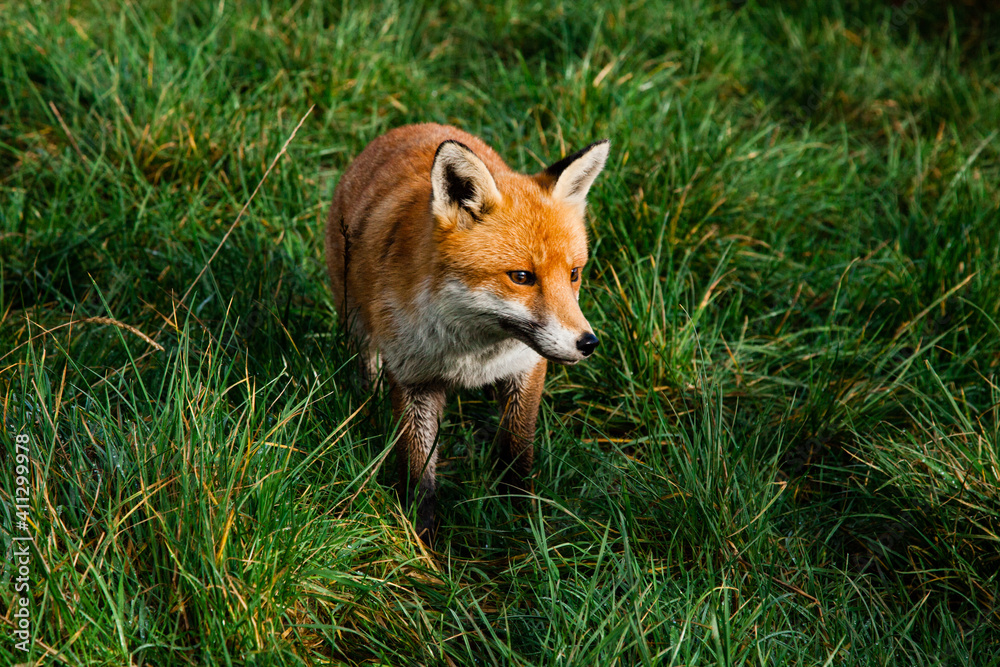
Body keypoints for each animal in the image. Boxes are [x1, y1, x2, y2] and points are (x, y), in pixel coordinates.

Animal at [328, 124, 608, 544]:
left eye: (573, 273)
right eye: (522, 277)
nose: (587, 343)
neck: (472, 353)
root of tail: (412, 128)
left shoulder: (526, 367)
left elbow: (516, 450)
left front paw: (520, 517)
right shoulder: (414, 379)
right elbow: (419, 472)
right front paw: (423, 542)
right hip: (355, 319)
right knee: (367, 362)